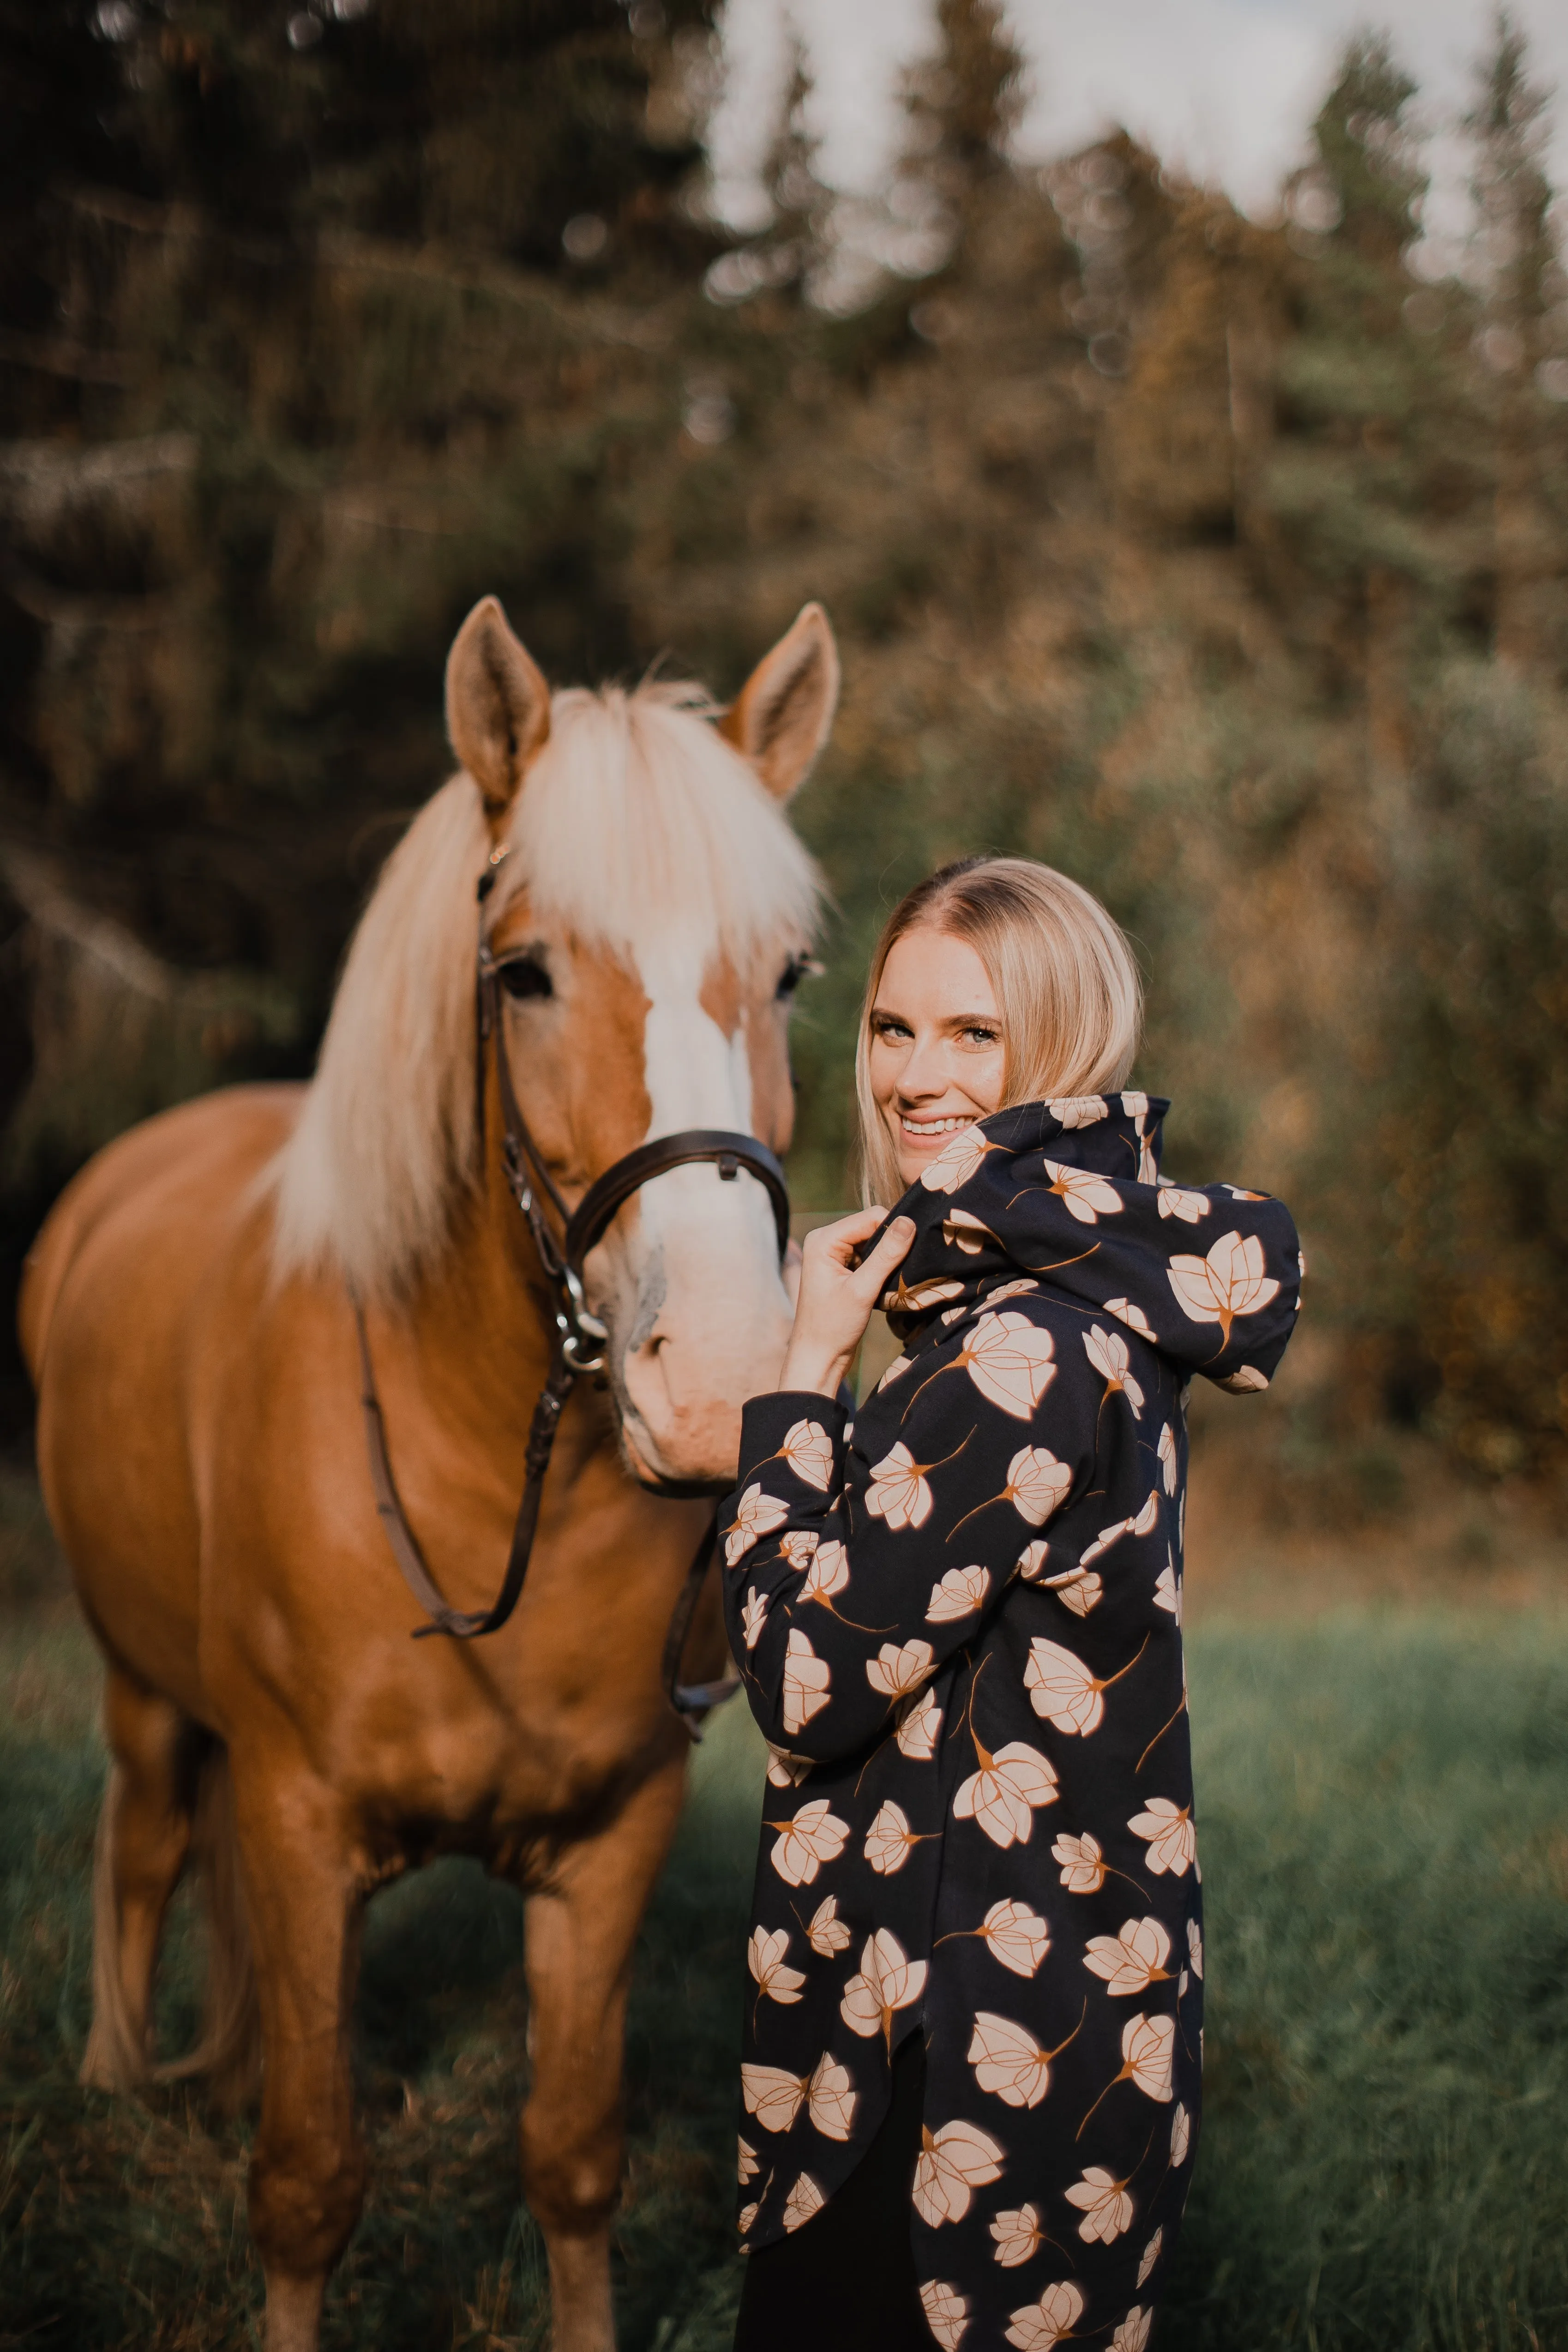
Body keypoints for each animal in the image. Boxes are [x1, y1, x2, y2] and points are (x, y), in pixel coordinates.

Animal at [15, 593, 846, 2352]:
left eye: (790, 975)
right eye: (522, 973)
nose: (720, 1381)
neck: (484, 1467)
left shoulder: (610, 1842)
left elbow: (573, 2158)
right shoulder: (297, 1821)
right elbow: (309, 2182)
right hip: (140, 1685)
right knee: (145, 1843)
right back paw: (119, 2077)